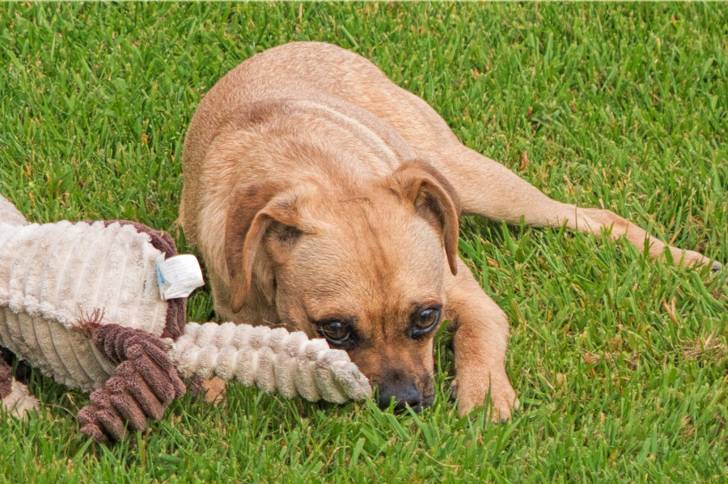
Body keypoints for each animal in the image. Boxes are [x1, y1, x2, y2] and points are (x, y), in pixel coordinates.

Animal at [179, 41, 720, 420]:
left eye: (427, 317)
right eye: (334, 330)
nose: (404, 403)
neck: (322, 175)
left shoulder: (467, 295)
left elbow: (478, 334)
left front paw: (484, 393)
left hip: (475, 181)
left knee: (591, 217)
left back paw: (685, 261)